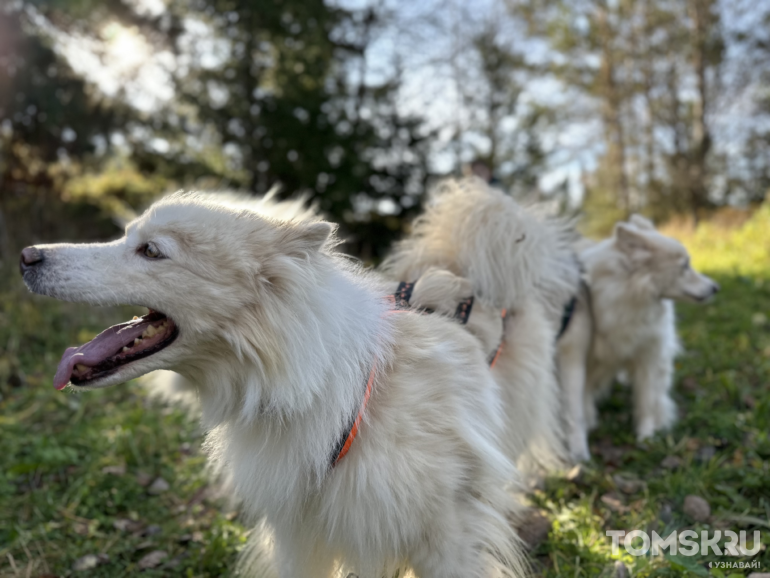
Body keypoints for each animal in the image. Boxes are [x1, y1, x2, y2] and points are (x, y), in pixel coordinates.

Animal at [560, 212, 716, 454]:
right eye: (684, 266)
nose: (716, 287)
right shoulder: (586, 359)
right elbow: (583, 396)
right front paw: (589, 423)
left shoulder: (648, 357)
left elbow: (646, 401)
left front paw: (647, 438)